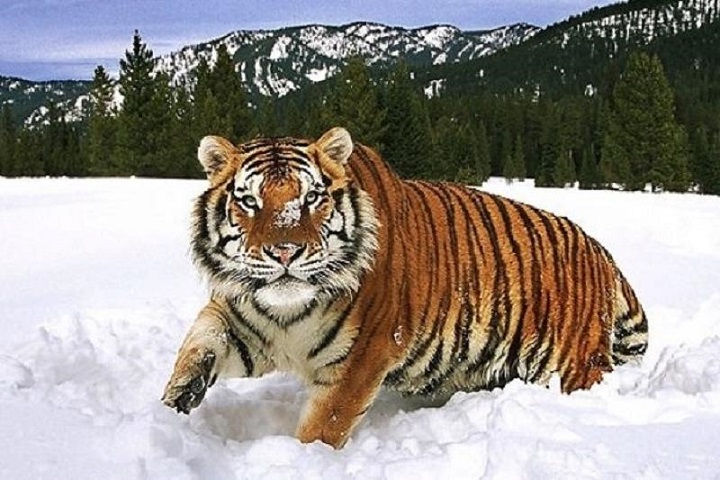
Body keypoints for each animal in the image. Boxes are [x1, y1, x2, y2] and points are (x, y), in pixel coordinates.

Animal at [162, 127, 648, 449]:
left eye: (312, 198)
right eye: (248, 201)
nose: (285, 252)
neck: (286, 311)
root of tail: (599, 249)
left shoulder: (364, 353)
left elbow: (324, 425)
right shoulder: (241, 319)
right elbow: (200, 340)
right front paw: (174, 404)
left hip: (571, 365)